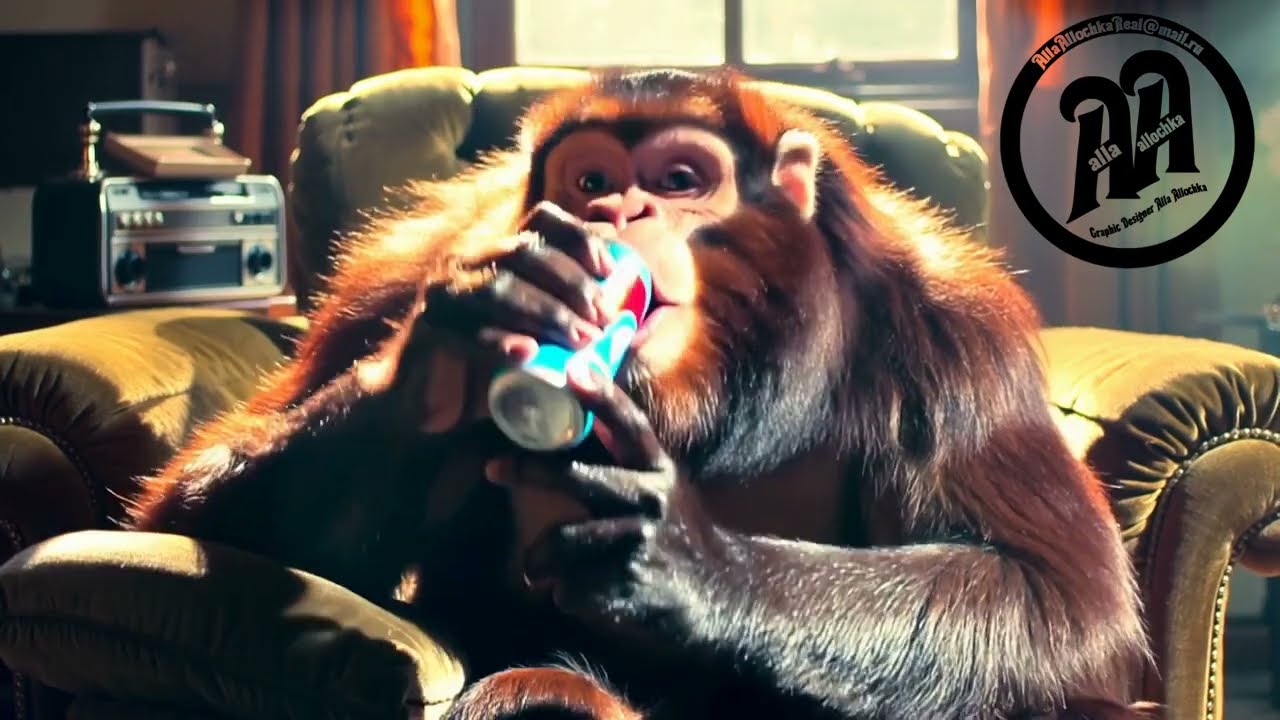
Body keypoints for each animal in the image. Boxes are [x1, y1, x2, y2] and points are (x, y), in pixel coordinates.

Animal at [125, 69, 1156, 719]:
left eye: (681, 179)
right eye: (592, 178)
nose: (618, 210)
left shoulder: (957, 335)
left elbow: (1062, 602)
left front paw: (693, 564)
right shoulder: (401, 274)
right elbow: (199, 509)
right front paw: (449, 353)